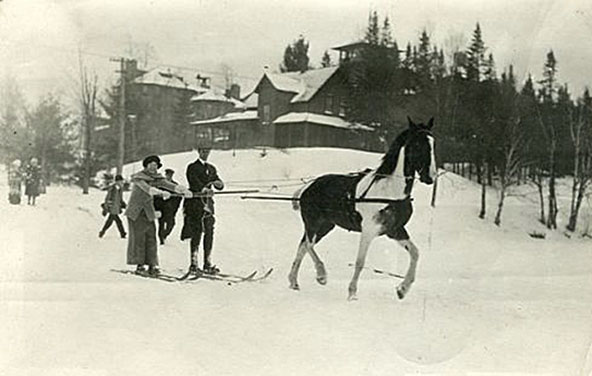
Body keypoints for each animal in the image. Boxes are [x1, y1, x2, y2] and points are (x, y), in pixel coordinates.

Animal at [290, 116, 438, 302]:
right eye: (417, 144)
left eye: (433, 143)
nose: (430, 177)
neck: (390, 192)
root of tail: (308, 187)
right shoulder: (368, 231)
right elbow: (360, 262)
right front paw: (352, 293)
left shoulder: (395, 230)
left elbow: (415, 253)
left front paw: (402, 289)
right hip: (313, 223)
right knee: (308, 245)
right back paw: (321, 275)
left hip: (326, 226)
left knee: (303, 246)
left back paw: (294, 282)